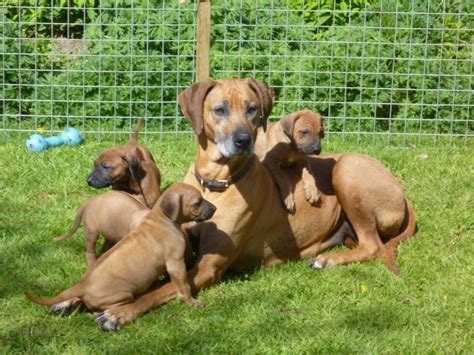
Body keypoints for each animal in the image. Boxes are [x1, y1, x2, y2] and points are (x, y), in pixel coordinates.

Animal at [26, 184, 216, 330]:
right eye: (198, 202)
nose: (215, 208)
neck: (161, 218)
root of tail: (83, 285)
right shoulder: (175, 264)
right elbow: (184, 286)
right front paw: (192, 302)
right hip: (123, 294)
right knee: (98, 309)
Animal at [51, 78, 414, 330]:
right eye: (220, 109)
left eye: (252, 108)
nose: (243, 140)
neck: (213, 183)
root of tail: (402, 192)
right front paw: (71, 297)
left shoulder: (207, 266)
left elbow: (160, 290)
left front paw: (119, 311)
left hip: (346, 168)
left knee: (372, 245)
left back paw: (328, 260)